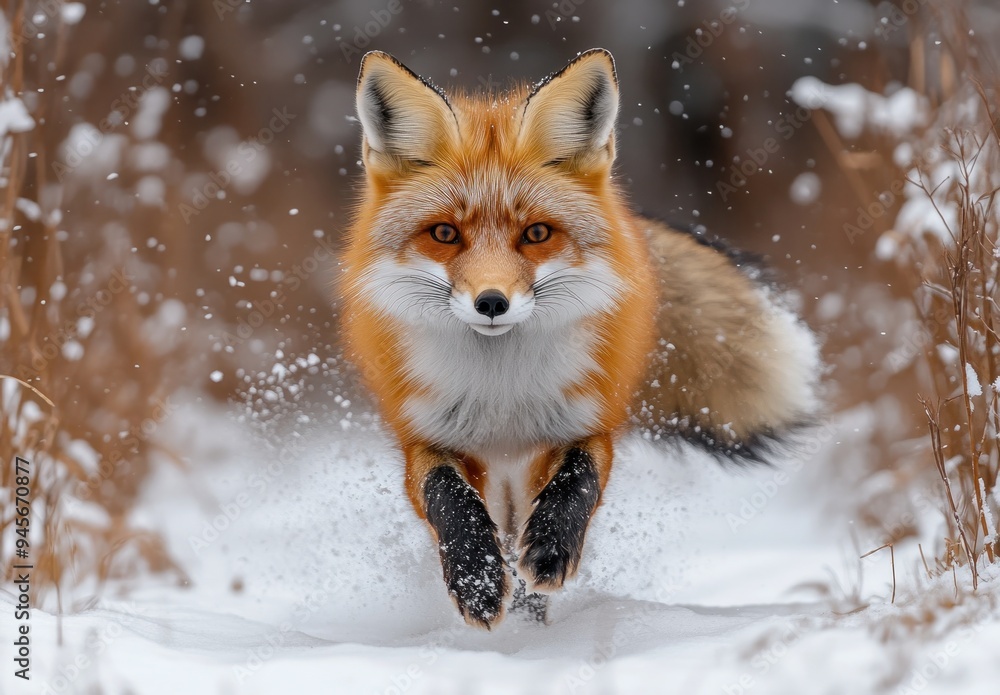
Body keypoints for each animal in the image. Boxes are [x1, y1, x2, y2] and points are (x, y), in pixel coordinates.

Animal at [339, 48, 821, 629]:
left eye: (537, 234)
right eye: (445, 234)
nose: (492, 302)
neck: (501, 394)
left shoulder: (585, 423)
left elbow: (578, 481)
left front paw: (549, 552)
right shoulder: (425, 436)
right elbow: (447, 498)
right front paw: (477, 581)